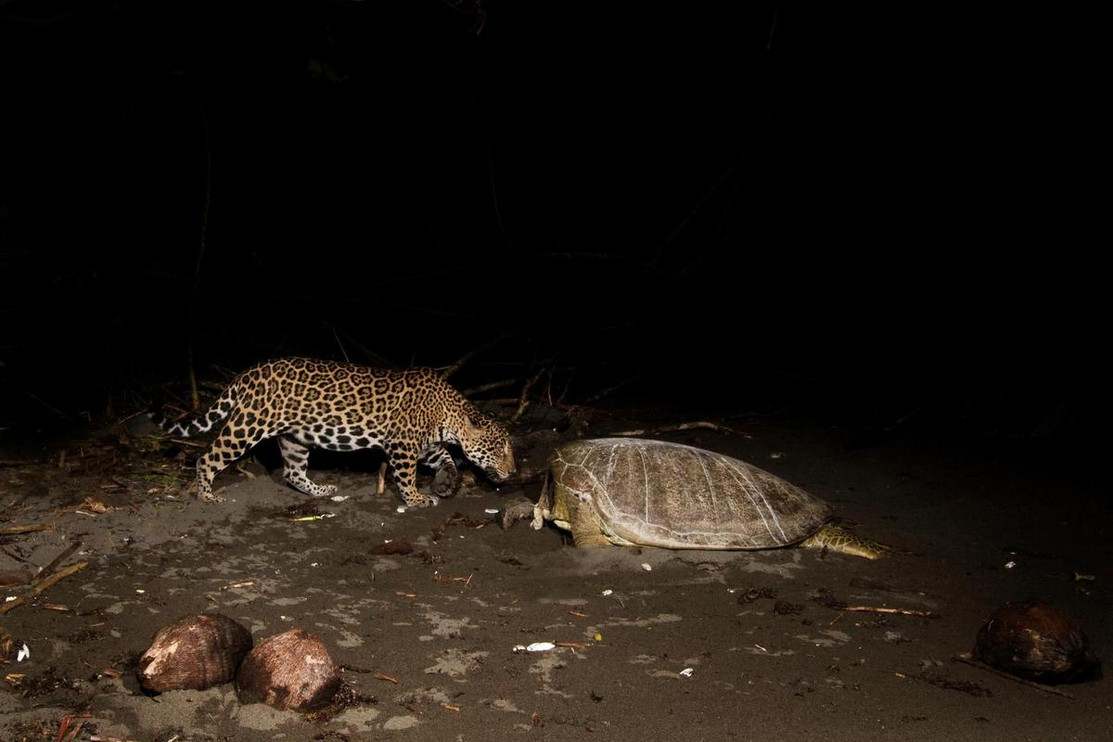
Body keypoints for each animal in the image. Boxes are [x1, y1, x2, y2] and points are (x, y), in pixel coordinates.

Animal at [148, 357, 516, 507]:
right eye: (499, 447)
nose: (513, 471)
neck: (446, 414)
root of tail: (248, 372)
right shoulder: (402, 444)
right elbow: (406, 475)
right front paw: (415, 498)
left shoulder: (422, 443)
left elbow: (446, 458)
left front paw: (447, 482)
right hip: (247, 425)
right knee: (208, 456)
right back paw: (207, 495)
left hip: (295, 437)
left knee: (292, 472)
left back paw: (321, 490)